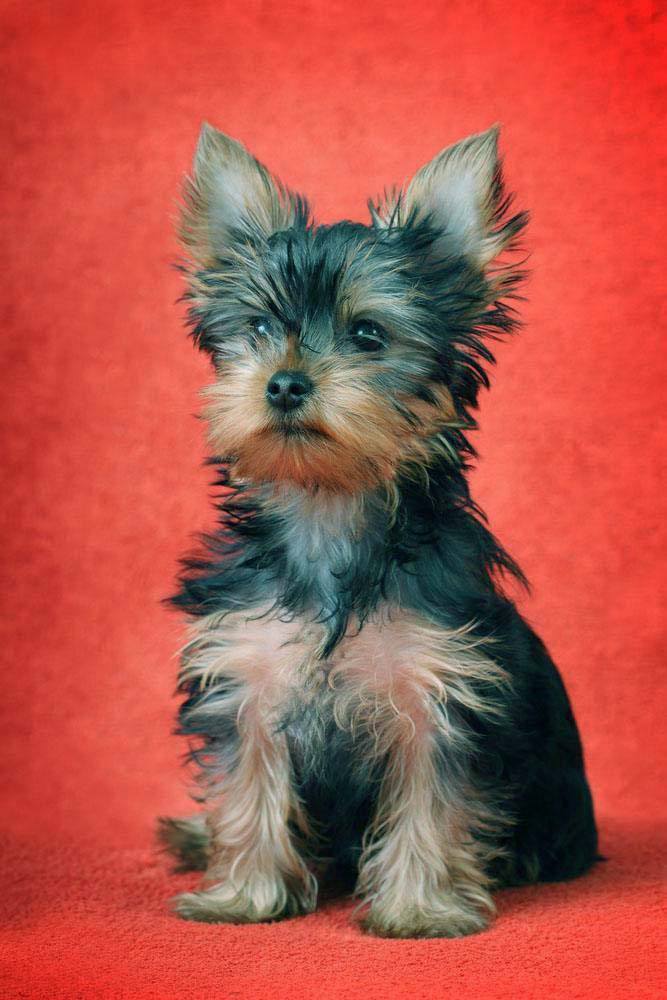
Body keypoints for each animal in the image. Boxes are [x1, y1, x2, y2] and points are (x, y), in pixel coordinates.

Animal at [159, 125, 596, 936]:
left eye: (368, 334)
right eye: (258, 328)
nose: (284, 382)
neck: (328, 510)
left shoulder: (438, 687)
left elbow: (431, 798)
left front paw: (419, 908)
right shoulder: (245, 673)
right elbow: (248, 785)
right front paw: (243, 895)